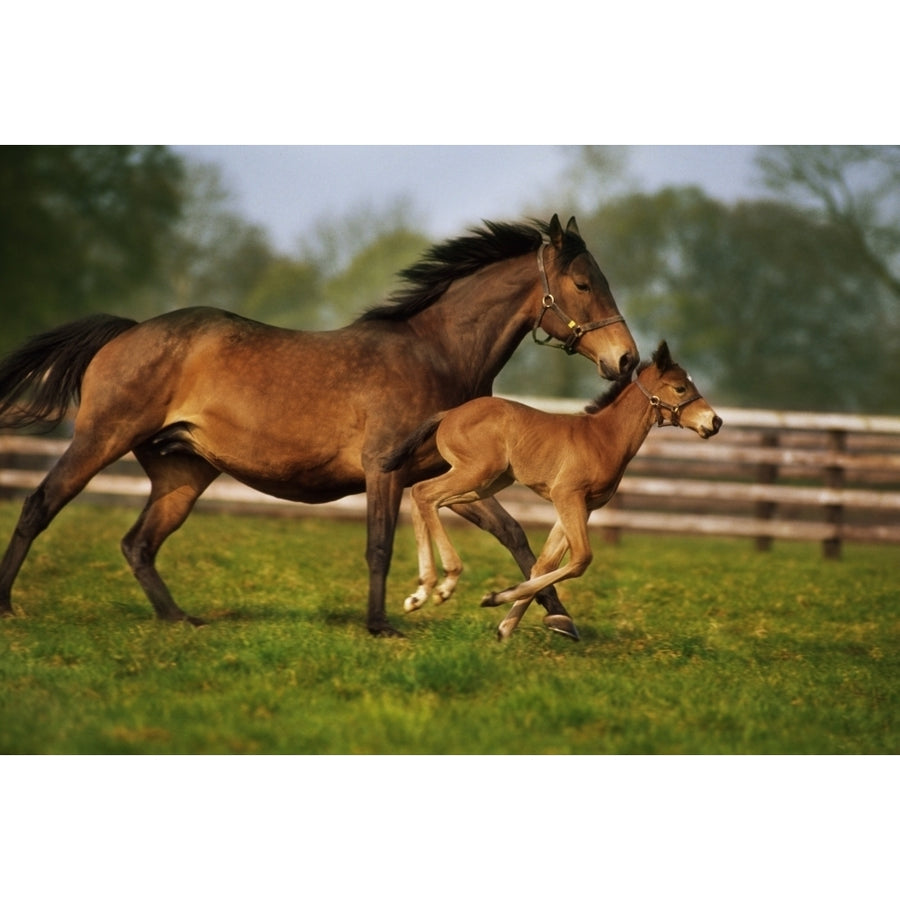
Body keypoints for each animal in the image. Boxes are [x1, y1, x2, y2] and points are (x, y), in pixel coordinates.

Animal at [0, 214, 636, 636]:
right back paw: (8, 605)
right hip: (101, 439)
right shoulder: (387, 470)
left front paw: (559, 620)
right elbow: (379, 546)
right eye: (583, 283)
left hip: (180, 473)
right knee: (39, 506)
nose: (626, 360)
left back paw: (180, 619)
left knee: (139, 543)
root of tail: (128, 331)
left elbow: (514, 535)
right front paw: (383, 624)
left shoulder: (449, 476)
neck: (436, 355)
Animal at [384, 340, 720, 640]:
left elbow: (544, 564)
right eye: (681, 388)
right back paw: (445, 583)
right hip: (476, 473)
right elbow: (581, 558)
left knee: (424, 497)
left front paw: (505, 626)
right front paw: (496, 599)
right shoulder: (566, 495)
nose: (715, 422)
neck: (604, 438)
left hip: (486, 483)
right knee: (425, 492)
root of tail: (449, 414)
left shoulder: (583, 506)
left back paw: (421, 592)